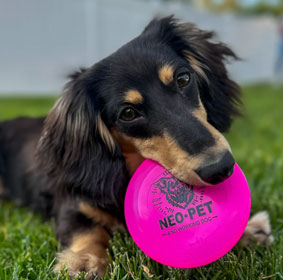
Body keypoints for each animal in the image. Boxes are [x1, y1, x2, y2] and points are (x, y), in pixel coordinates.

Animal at [0, 17, 276, 278]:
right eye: (128, 113)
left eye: (183, 78)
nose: (220, 167)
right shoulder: (73, 202)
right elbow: (85, 229)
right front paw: (84, 262)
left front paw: (249, 232)